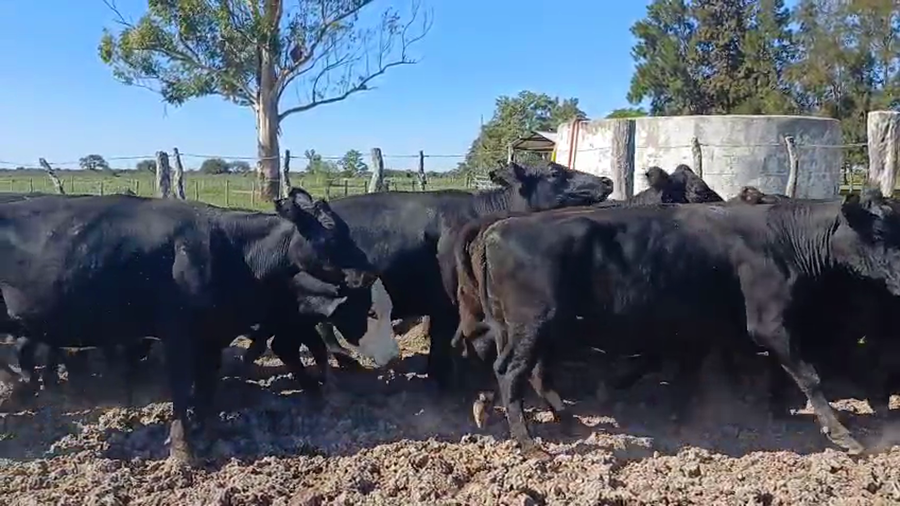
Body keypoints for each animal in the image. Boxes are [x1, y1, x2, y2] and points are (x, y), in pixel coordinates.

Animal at [0, 188, 393, 465]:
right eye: (330, 238)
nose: (369, 271)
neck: (230, 250)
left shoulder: (212, 335)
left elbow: (206, 386)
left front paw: (209, 432)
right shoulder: (178, 334)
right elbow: (181, 389)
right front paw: (182, 449)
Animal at [461, 190, 900, 459]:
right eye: (878, 233)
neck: (782, 239)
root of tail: (498, 227)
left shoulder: (704, 328)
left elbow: (687, 372)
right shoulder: (769, 323)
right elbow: (809, 375)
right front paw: (843, 434)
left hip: (528, 328)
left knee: (529, 371)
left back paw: (559, 419)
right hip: (533, 324)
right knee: (511, 372)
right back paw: (528, 443)